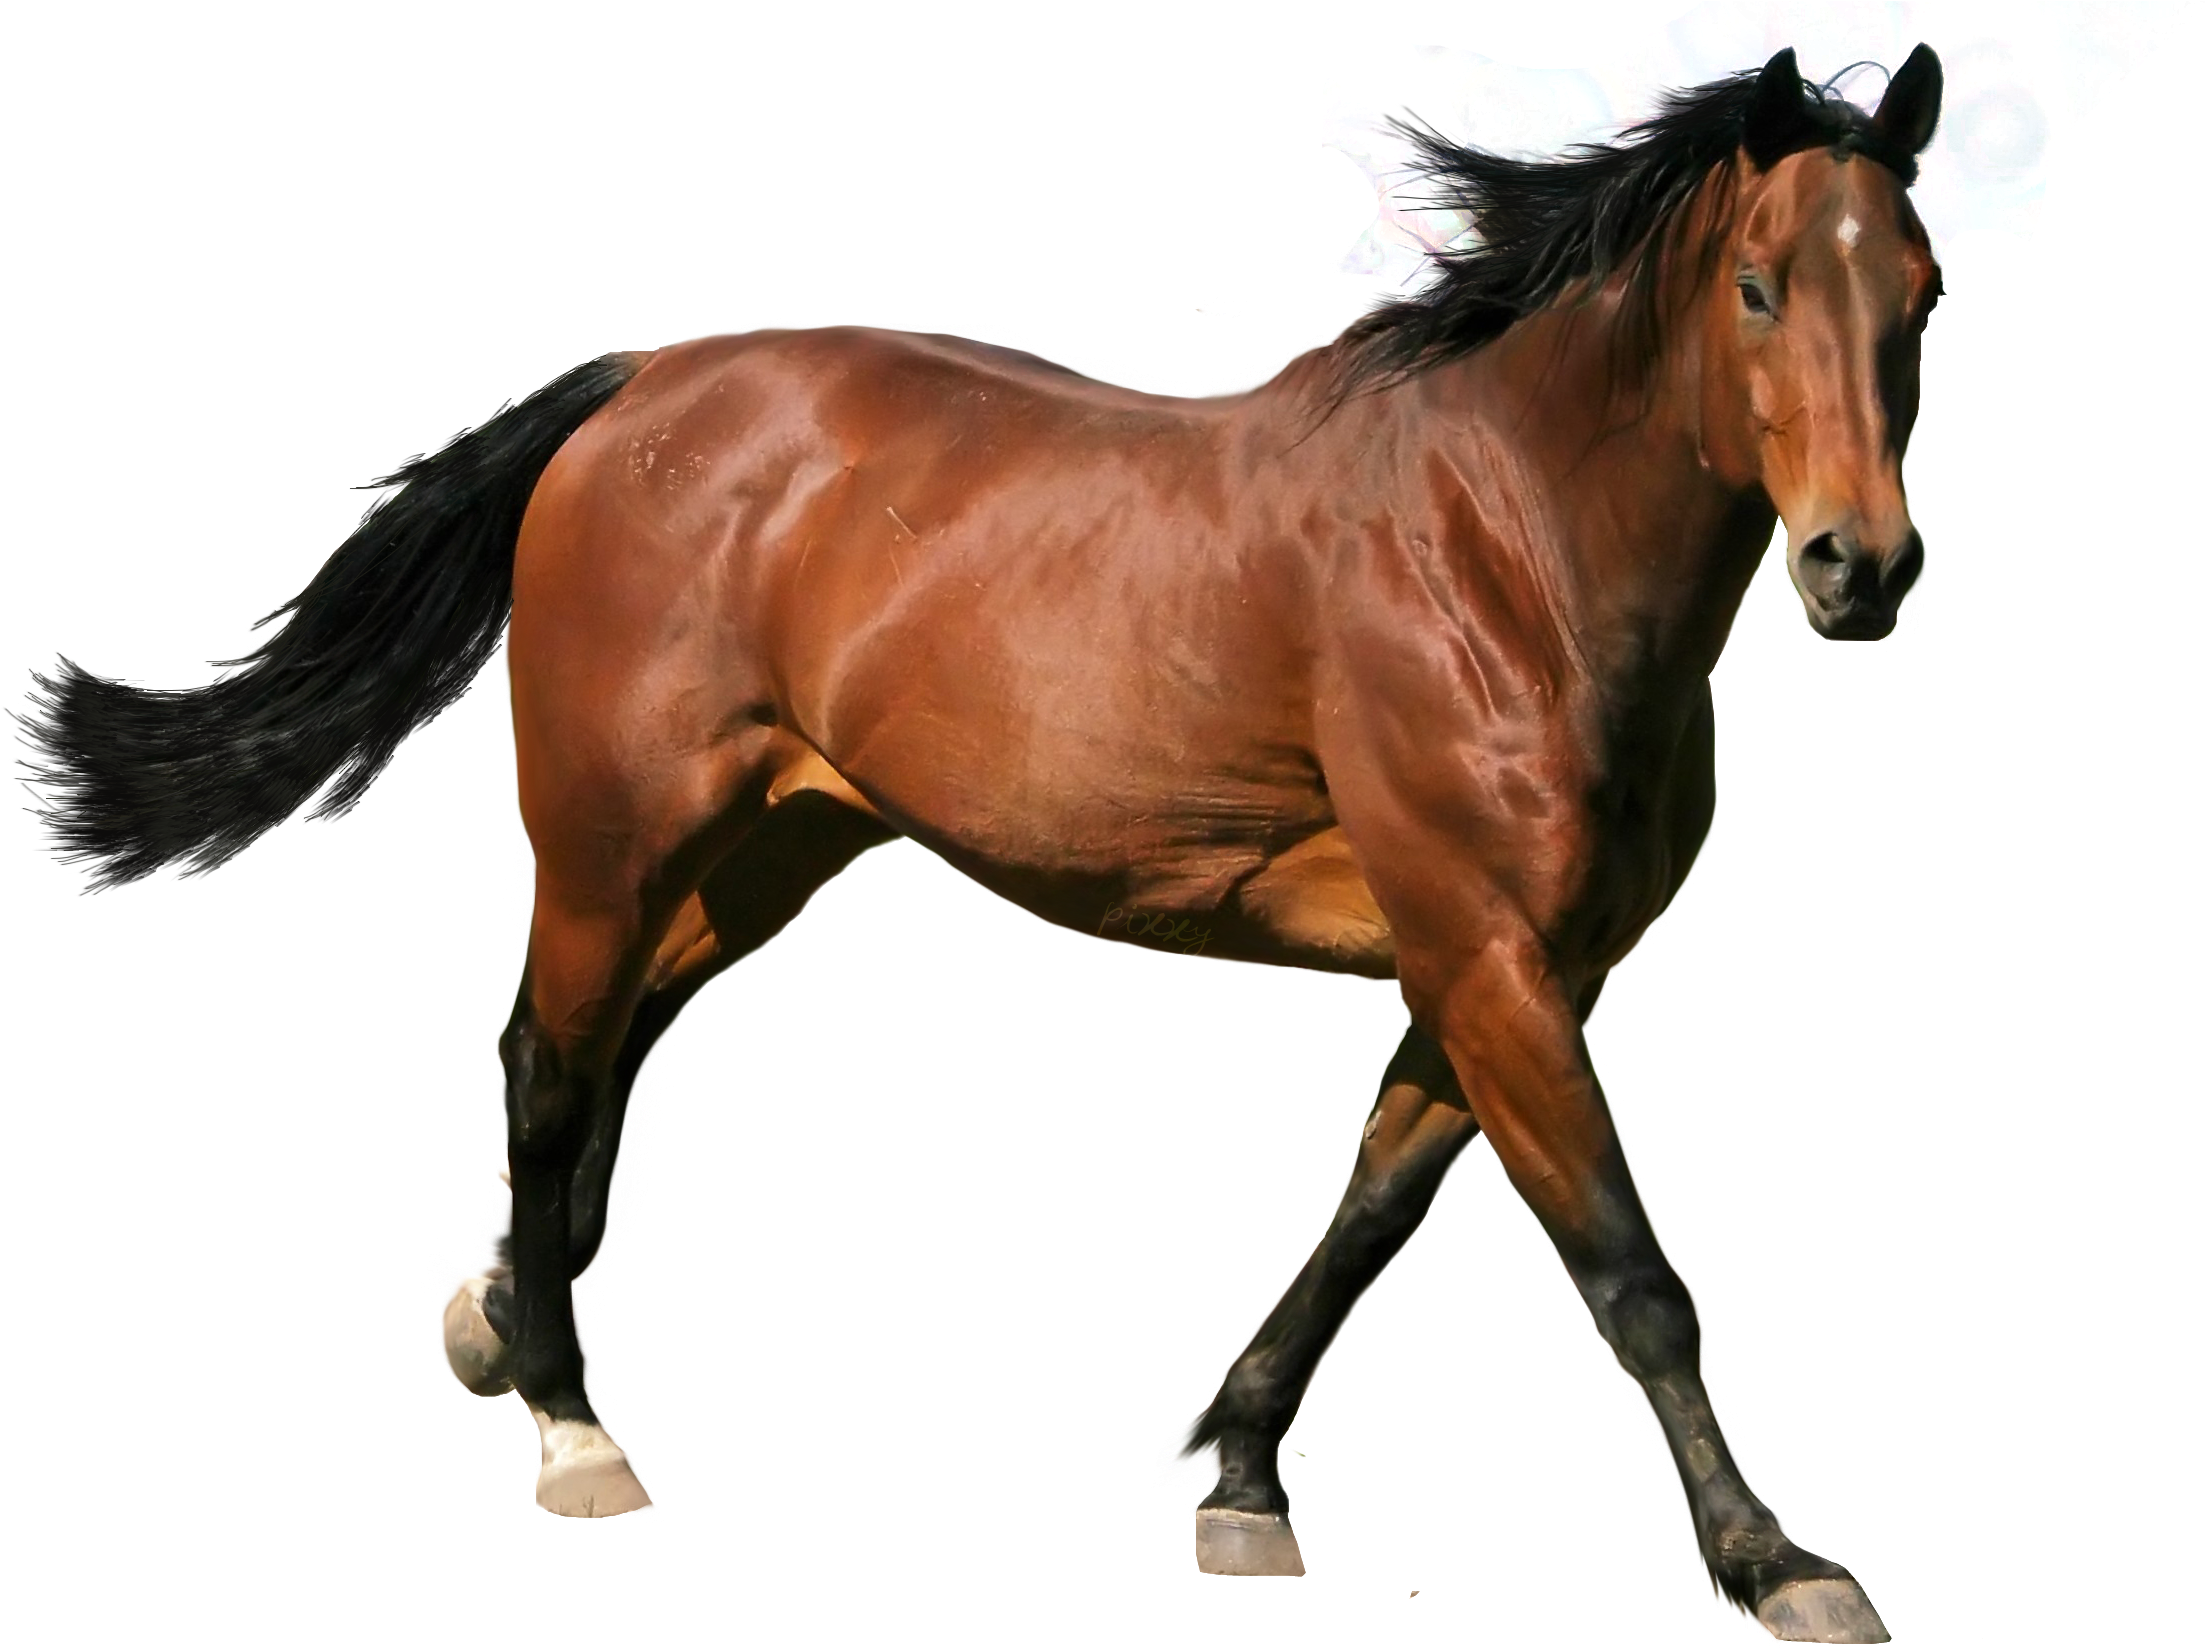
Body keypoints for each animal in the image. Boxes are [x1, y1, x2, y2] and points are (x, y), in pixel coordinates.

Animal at [16, 42, 1940, 1639]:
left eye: (1916, 296)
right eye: (1758, 286)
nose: (1860, 566)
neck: (1501, 547)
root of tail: (639, 391)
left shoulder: (1514, 967)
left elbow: (1373, 1206)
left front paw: (1234, 1477)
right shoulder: (1483, 950)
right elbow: (1624, 1265)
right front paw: (1780, 1566)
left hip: (771, 851)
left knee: (609, 1047)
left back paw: (493, 1309)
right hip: (609, 832)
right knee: (550, 1068)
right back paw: (572, 1425)